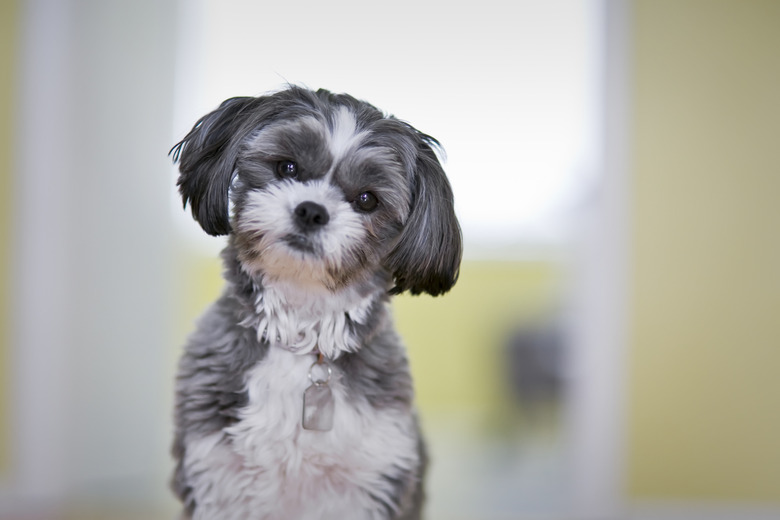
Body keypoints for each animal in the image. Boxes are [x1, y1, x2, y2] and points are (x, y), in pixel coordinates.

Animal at [169, 87, 464, 516]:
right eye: (287, 167)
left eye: (366, 200)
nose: (311, 211)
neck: (301, 333)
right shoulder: (215, 476)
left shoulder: (375, 477)